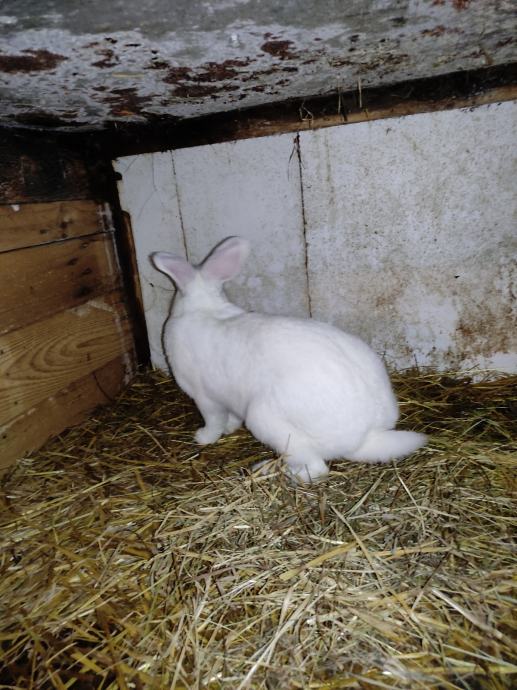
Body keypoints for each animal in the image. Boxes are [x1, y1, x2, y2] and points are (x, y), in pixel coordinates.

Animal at [151, 237, 427, 483]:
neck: (204, 307)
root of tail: (367, 434)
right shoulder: (228, 401)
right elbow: (231, 418)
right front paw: (230, 429)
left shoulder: (205, 397)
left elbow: (213, 421)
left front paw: (203, 437)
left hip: (266, 420)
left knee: (316, 468)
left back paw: (269, 470)